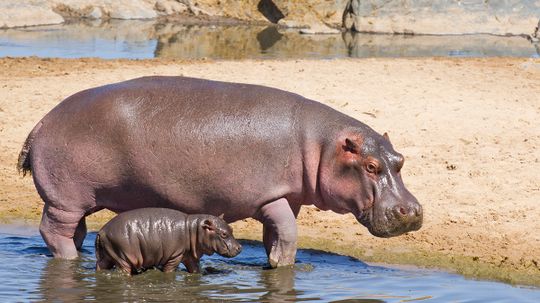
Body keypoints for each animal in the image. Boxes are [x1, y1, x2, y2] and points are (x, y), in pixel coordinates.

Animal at [15, 76, 422, 268]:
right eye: (370, 166)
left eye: (400, 160)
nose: (413, 211)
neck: (321, 145)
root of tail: (41, 122)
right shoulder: (270, 196)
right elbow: (289, 234)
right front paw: (283, 265)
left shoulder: (286, 197)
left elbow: (278, 234)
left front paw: (274, 262)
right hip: (65, 199)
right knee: (54, 231)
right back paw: (70, 261)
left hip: (77, 200)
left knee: (76, 232)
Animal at [95, 209, 243, 276]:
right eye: (224, 234)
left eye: (231, 229)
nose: (240, 247)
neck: (194, 229)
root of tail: (102, 231)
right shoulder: (175, 256)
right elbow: (169, 271)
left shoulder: (190, 256)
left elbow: (195, 269)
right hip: (123, 257)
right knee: (123, 271)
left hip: (108, 255)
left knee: (101, 266)